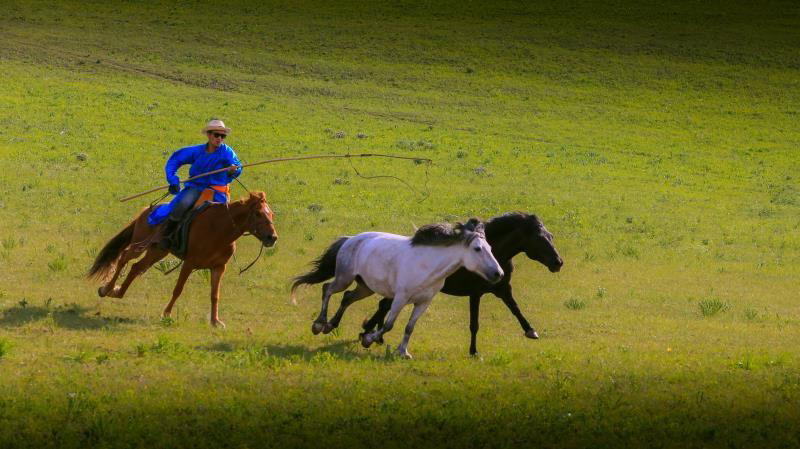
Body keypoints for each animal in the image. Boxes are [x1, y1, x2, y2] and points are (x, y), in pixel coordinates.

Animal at [88, 190, 278, 326]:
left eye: (271, 215)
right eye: (258, 214)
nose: (272, 237)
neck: (218, 228)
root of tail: (148, 210)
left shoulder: (218, 267)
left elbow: (215, 294)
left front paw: (215, 321)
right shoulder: (189, 263)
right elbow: (178, 289)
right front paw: (166, 314)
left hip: (158, 251)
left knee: (136, 268)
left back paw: (117, 292)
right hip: (139, 244)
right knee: (124, 258)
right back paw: (106, 289)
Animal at [290, 217, 504, 356]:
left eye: (490, 248)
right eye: (477, 249)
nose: (498, 274)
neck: (426, 266)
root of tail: (350, 239)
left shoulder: (423, 303)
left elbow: (410, 327)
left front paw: (403, 352)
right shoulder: (400, 298)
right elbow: (388, 324)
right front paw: (368, 340)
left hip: (366, 287)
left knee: (347, 297)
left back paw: (330, 326)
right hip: (344, 277)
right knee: (327, 289)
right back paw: (319, 324)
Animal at [324, 212, 564, 356]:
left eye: (551, 236)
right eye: (540, 238)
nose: (558, 263)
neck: (497, 252)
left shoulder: (502, 289)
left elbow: (516, 309)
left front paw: (531, 331)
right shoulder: (476, 293)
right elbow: (474, 323)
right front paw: (474, 351)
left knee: (379, 304)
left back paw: (371, 334)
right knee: (380, 305)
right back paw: (366, 333)